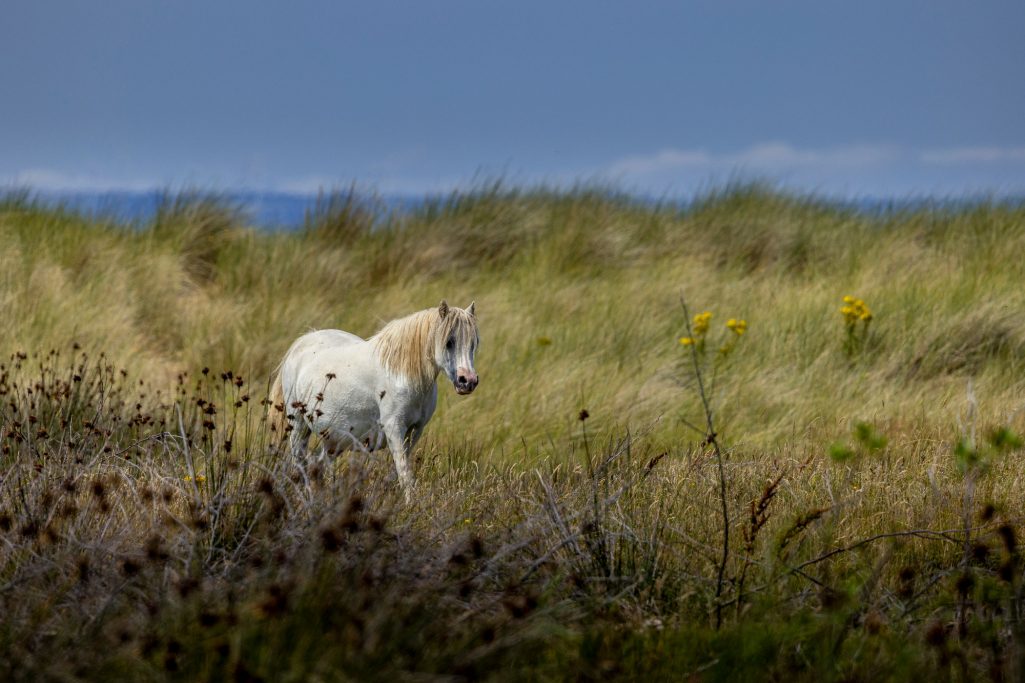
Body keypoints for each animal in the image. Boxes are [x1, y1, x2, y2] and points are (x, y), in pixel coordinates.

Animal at [272, 301, 479, 498]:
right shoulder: (394, 427)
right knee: (300, 464)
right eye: (449, 342)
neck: (403, 375)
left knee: (318, 464)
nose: (467, 381)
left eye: (473, 343)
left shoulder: (415, 431)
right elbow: (405, 475)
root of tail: (303, 342)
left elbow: (401, 472)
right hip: (298, 426)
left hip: (334, 439)